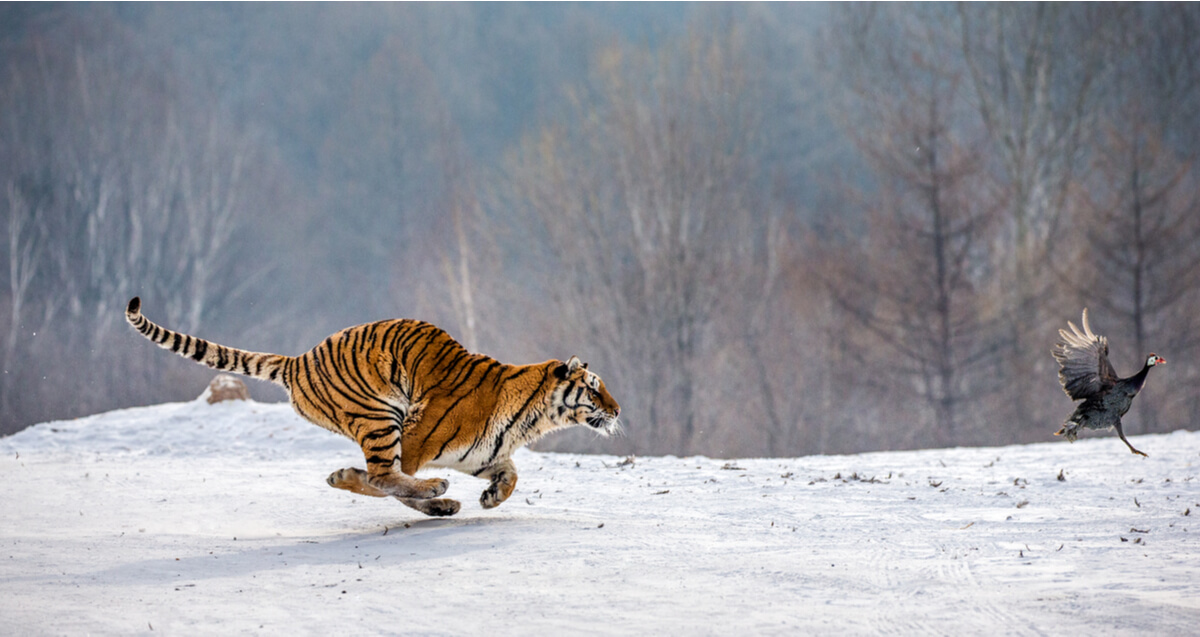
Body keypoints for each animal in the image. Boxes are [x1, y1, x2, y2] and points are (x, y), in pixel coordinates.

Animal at [126, 298, 624, 518]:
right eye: (594, 388)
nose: (619, 410)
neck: (533, 419)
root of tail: (298, 358)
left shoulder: (481, 455)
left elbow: (512, 473)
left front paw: (491, 497)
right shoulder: (418, 440)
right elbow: (385, 482)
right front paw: (350, 478)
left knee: (387, 478)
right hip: (382, 415)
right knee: (385, 475)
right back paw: (432, 492)